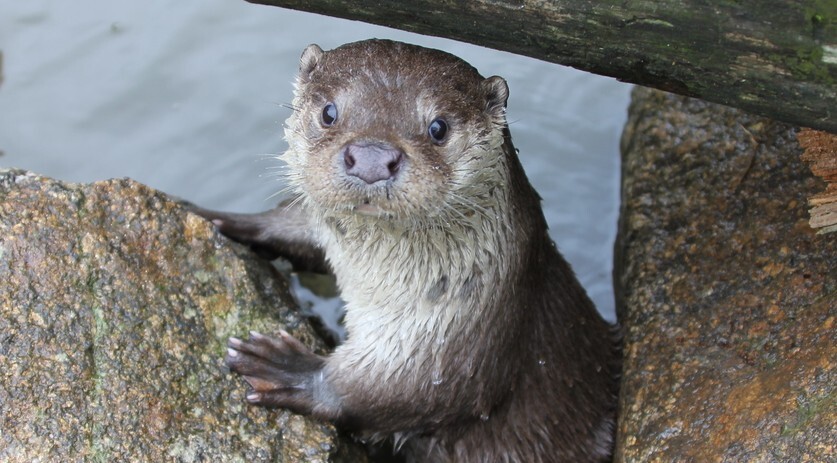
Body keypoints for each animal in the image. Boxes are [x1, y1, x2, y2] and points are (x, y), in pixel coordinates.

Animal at [198, 40, 620, 463]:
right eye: (329, 112)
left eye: (438, 127)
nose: (370, 159)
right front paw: (220, 218)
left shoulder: (467, 326)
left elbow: (409, 390)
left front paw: (287, 368)